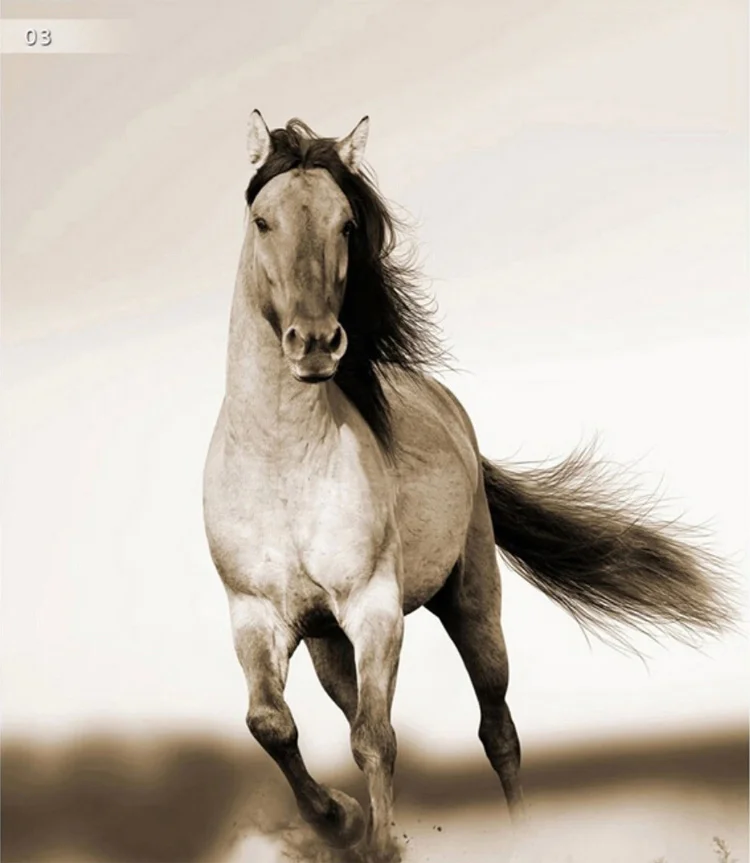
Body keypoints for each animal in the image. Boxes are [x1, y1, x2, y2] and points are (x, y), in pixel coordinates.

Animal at [202, 111, 733, 861]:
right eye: (262, 221)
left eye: (346, 223)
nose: (316, 343)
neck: (283, 464)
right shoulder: (255, 615)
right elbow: (271, 724)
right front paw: (340, 817)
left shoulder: (375, 608)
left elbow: (376, 738)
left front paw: (376, 841)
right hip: (329, 642)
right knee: (351, 710)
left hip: (472, 603)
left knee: (497, 729)